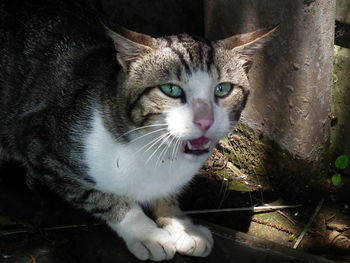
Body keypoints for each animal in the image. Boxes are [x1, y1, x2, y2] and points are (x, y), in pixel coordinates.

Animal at [1, 0, 278, 260]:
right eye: (171, 90)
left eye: (223, 89)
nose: (204, 121)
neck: (153, 149)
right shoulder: (38, 144)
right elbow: (101, 195)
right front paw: (146, 233)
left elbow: (166, 194)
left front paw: (181, 224)